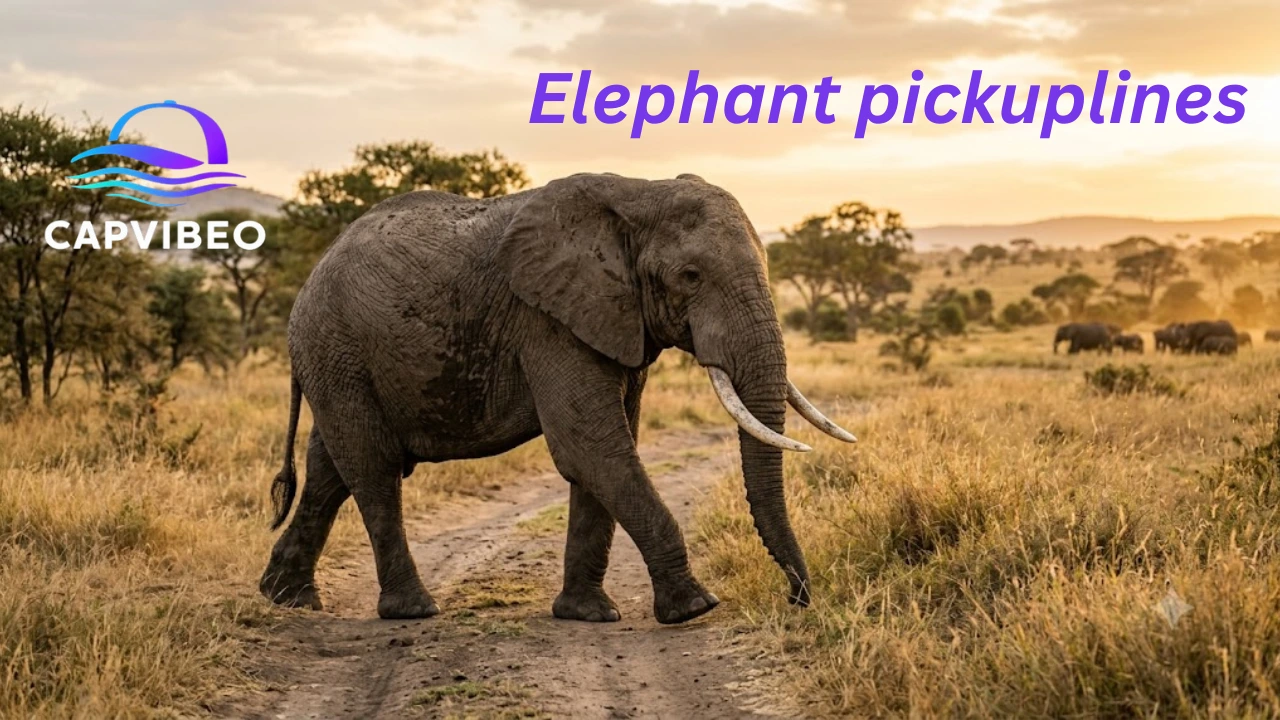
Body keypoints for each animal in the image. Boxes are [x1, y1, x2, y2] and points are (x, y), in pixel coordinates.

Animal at [258, 173, 856, 625]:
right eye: (690, 275)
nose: (797, 598)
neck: (638, 194)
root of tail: (311, 277)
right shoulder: (546, 320)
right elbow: (591, 446)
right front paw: (695, 608)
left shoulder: (612, 319)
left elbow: (606, 449)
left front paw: (587, 614)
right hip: (336, 347)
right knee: (373, 468)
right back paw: (412, 610)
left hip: (340, 361)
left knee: (330, 469)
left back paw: (287, 598)